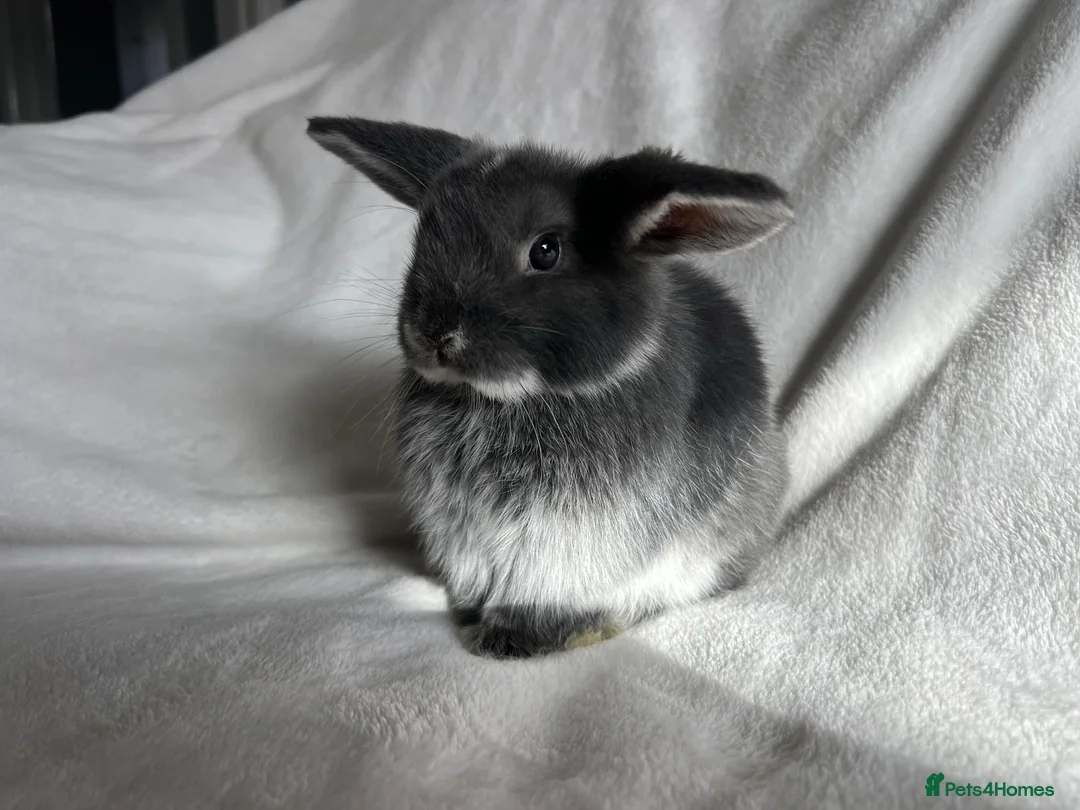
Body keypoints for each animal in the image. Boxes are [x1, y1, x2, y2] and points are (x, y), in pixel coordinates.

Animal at [308, 117, 792, 658]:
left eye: (545, 251)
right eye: (424, 237)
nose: (433, 334)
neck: (504, 398)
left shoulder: (568, 535)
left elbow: (544, 588)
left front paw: (511, 638)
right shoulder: (461, 531)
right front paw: (473, 619)